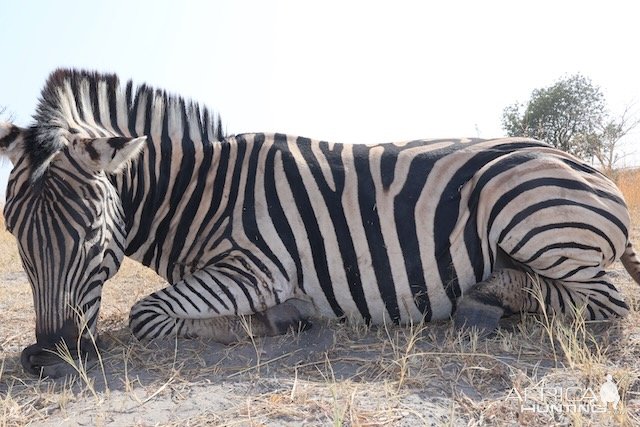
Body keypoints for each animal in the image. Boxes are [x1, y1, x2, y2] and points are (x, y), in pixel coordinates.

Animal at [1, 68, 640, 380]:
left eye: (91, 233)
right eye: (14, 237)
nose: (46, 360)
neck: (200, 193)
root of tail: (582, 164)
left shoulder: (259, 268)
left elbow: (145, 313)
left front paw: (267, 322)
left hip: (526, 213)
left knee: (604, 302)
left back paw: (488, 301)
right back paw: (489, 296)